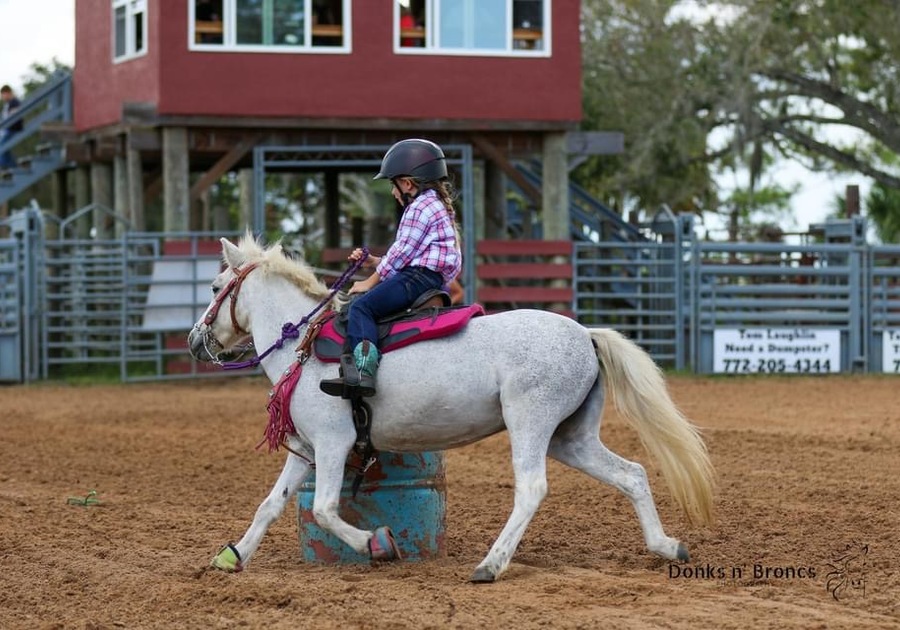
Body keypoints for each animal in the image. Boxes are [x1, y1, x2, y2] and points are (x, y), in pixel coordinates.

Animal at [190, 237, 716, 584]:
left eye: (215, 286)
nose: (196, 341)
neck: (303, 343)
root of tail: (585, 334)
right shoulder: (306, 448)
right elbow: (271, 504)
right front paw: (233, 556)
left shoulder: (334, 444)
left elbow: (323, 508)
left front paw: (378, 544)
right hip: (572, 437)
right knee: (632, 474)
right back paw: (666, 546)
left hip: (530, 423)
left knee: (532, 489)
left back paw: (491, 565)